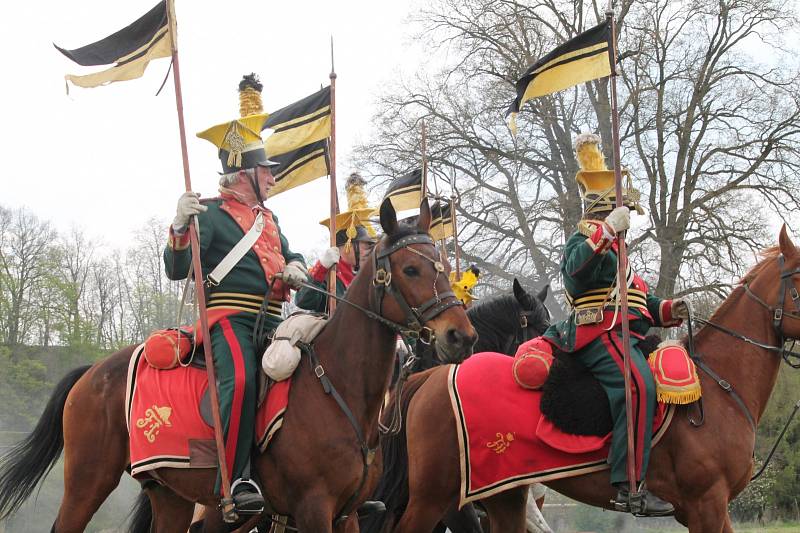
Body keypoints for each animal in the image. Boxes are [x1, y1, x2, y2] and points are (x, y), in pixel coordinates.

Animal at [0, 198, 476, 532]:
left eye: (442, 266)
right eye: (411, 268)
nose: (461, 335)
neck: (336, 388)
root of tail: (93, 372)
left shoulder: (348, 514)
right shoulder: (313, 509)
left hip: (171, 495)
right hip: (88, 480)